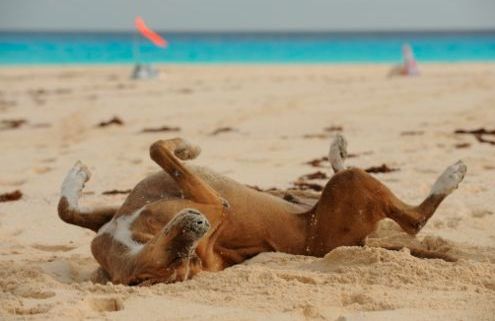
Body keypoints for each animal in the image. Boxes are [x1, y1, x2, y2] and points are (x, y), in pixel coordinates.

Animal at [58, 134, 468, 284]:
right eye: (177, 259)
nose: (199, 226)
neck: (131, 244)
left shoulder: (110, 220)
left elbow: (67, 211)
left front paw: (75, 177)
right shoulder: (215, 203)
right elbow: (158, 148)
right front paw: (187, 147)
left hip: (312, 192)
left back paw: (336, 149)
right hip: (350, 189)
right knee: (414, 220)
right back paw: (450, 176)